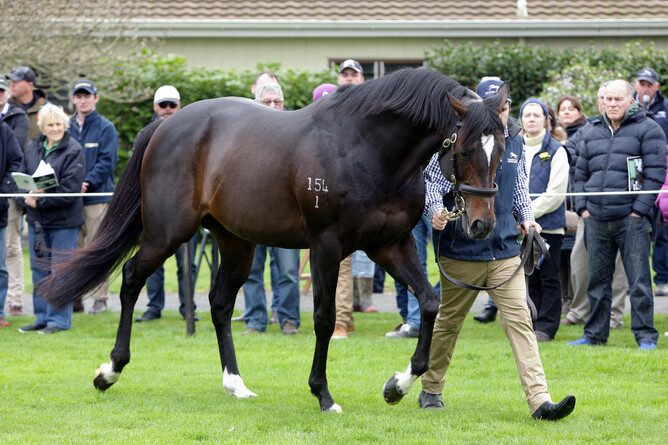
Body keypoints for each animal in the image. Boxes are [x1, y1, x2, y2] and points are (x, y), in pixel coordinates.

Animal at [42, 68, 509, 412]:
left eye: (502, 150)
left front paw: (397, 385)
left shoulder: (390, 245)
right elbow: (323, 318)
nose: (481, 225)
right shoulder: (326, 245)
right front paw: (323, 394)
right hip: (167, 233)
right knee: (132, 280)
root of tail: (166, 125)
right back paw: (110, 370)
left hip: (236, 243)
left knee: (219, 304)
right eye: (465, 151)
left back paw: (236, 384)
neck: (366, 148)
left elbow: (429, 302)